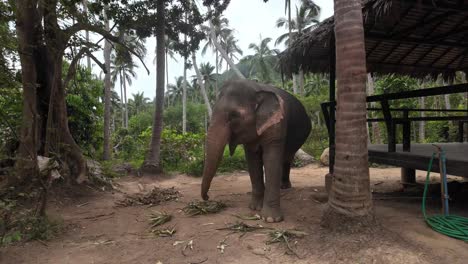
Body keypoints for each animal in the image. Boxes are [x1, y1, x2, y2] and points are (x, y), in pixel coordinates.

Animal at [200, 79, 310, 222]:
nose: (207, 198)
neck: (256, 88)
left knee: (287, 158)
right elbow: (253, 161)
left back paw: (285, 186)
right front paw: (255, 208)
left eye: (234, 115)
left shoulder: (277, 124)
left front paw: (270, 219)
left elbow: (271, 159)